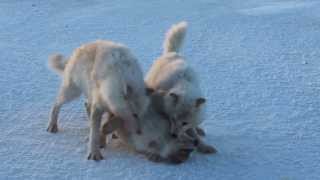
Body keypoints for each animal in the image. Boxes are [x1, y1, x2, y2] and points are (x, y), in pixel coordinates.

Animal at [146, 21, 216, 153]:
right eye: (173, 118)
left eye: (184, 123)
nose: (173, 135)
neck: (183, 83)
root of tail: (172, 53)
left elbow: (193, 132)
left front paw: (203, 146)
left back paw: (199, 130)